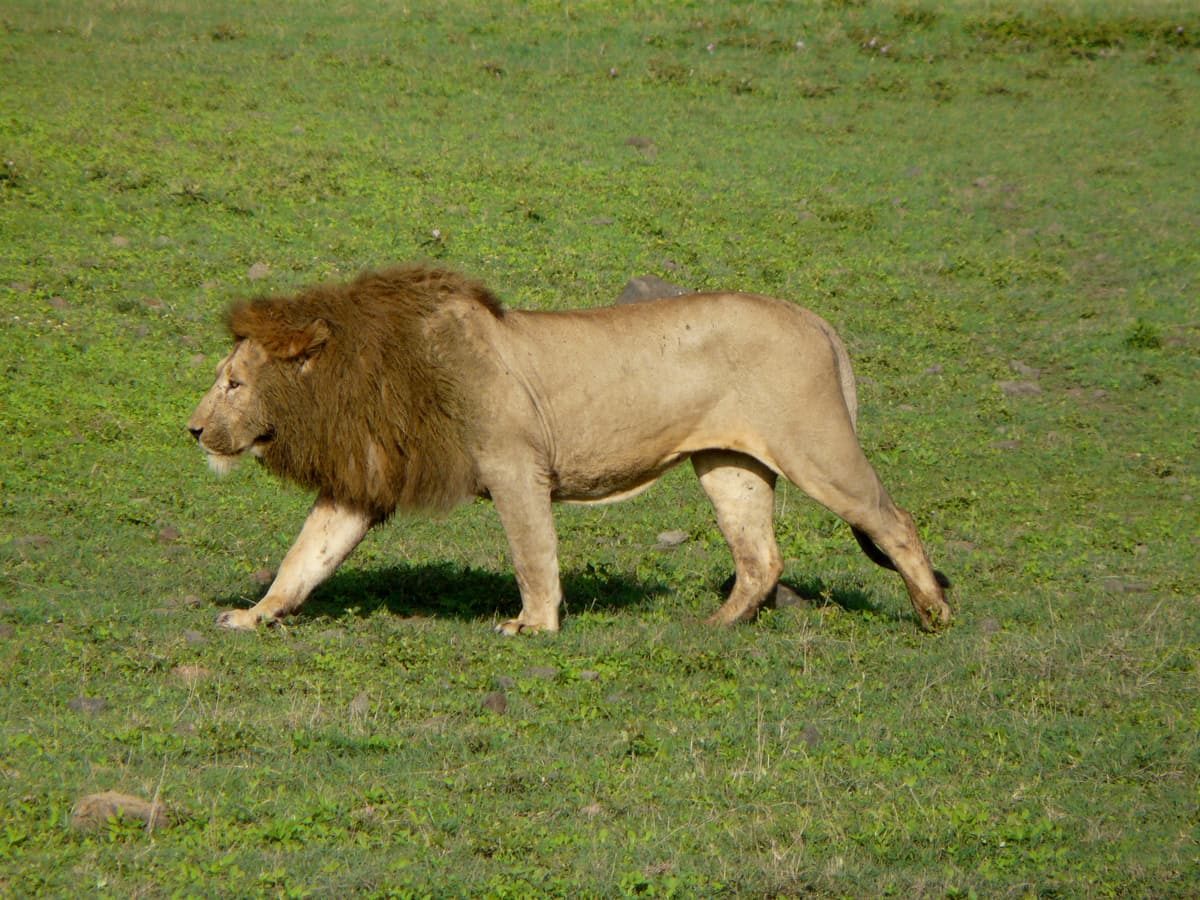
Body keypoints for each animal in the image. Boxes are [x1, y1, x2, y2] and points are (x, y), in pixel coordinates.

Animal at [188, 265, 951, 634]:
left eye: (232, 384)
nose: (192, 430)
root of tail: (813, 318)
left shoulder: (515, 465)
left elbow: (532, 554)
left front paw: (533, 625)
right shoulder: (363, 484)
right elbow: (304, 558)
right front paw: (253, 616)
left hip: (815, 448)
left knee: (896, 522)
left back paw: (934, 617)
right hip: (730, 465)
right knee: (761, 557)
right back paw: (713, 627)